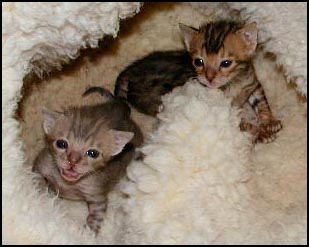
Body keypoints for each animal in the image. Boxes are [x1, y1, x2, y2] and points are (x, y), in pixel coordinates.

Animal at [32, 89, 143, 234]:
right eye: (62, 144)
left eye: (93, 153)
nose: (72, 161)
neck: (67, 183)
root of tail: (119, 107)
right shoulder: (42, 163)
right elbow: (35, 178)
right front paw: (40, 194)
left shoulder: (97, 196)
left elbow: (95, 218)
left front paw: (86, 234)